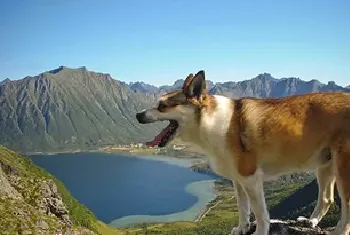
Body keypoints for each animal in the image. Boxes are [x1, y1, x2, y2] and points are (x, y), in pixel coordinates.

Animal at [135, 70, 350, 234]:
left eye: (162, 106)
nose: (137, 115)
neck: (209, 121)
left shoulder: (251, 179)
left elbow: (261, 214)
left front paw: (260, 232)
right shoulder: (238, 181)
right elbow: (243, 208)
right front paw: (242, 228)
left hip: (343, 171)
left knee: (346, 208)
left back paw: (338, 231)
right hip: (325, 164)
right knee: (326, 198)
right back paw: (311, 222)